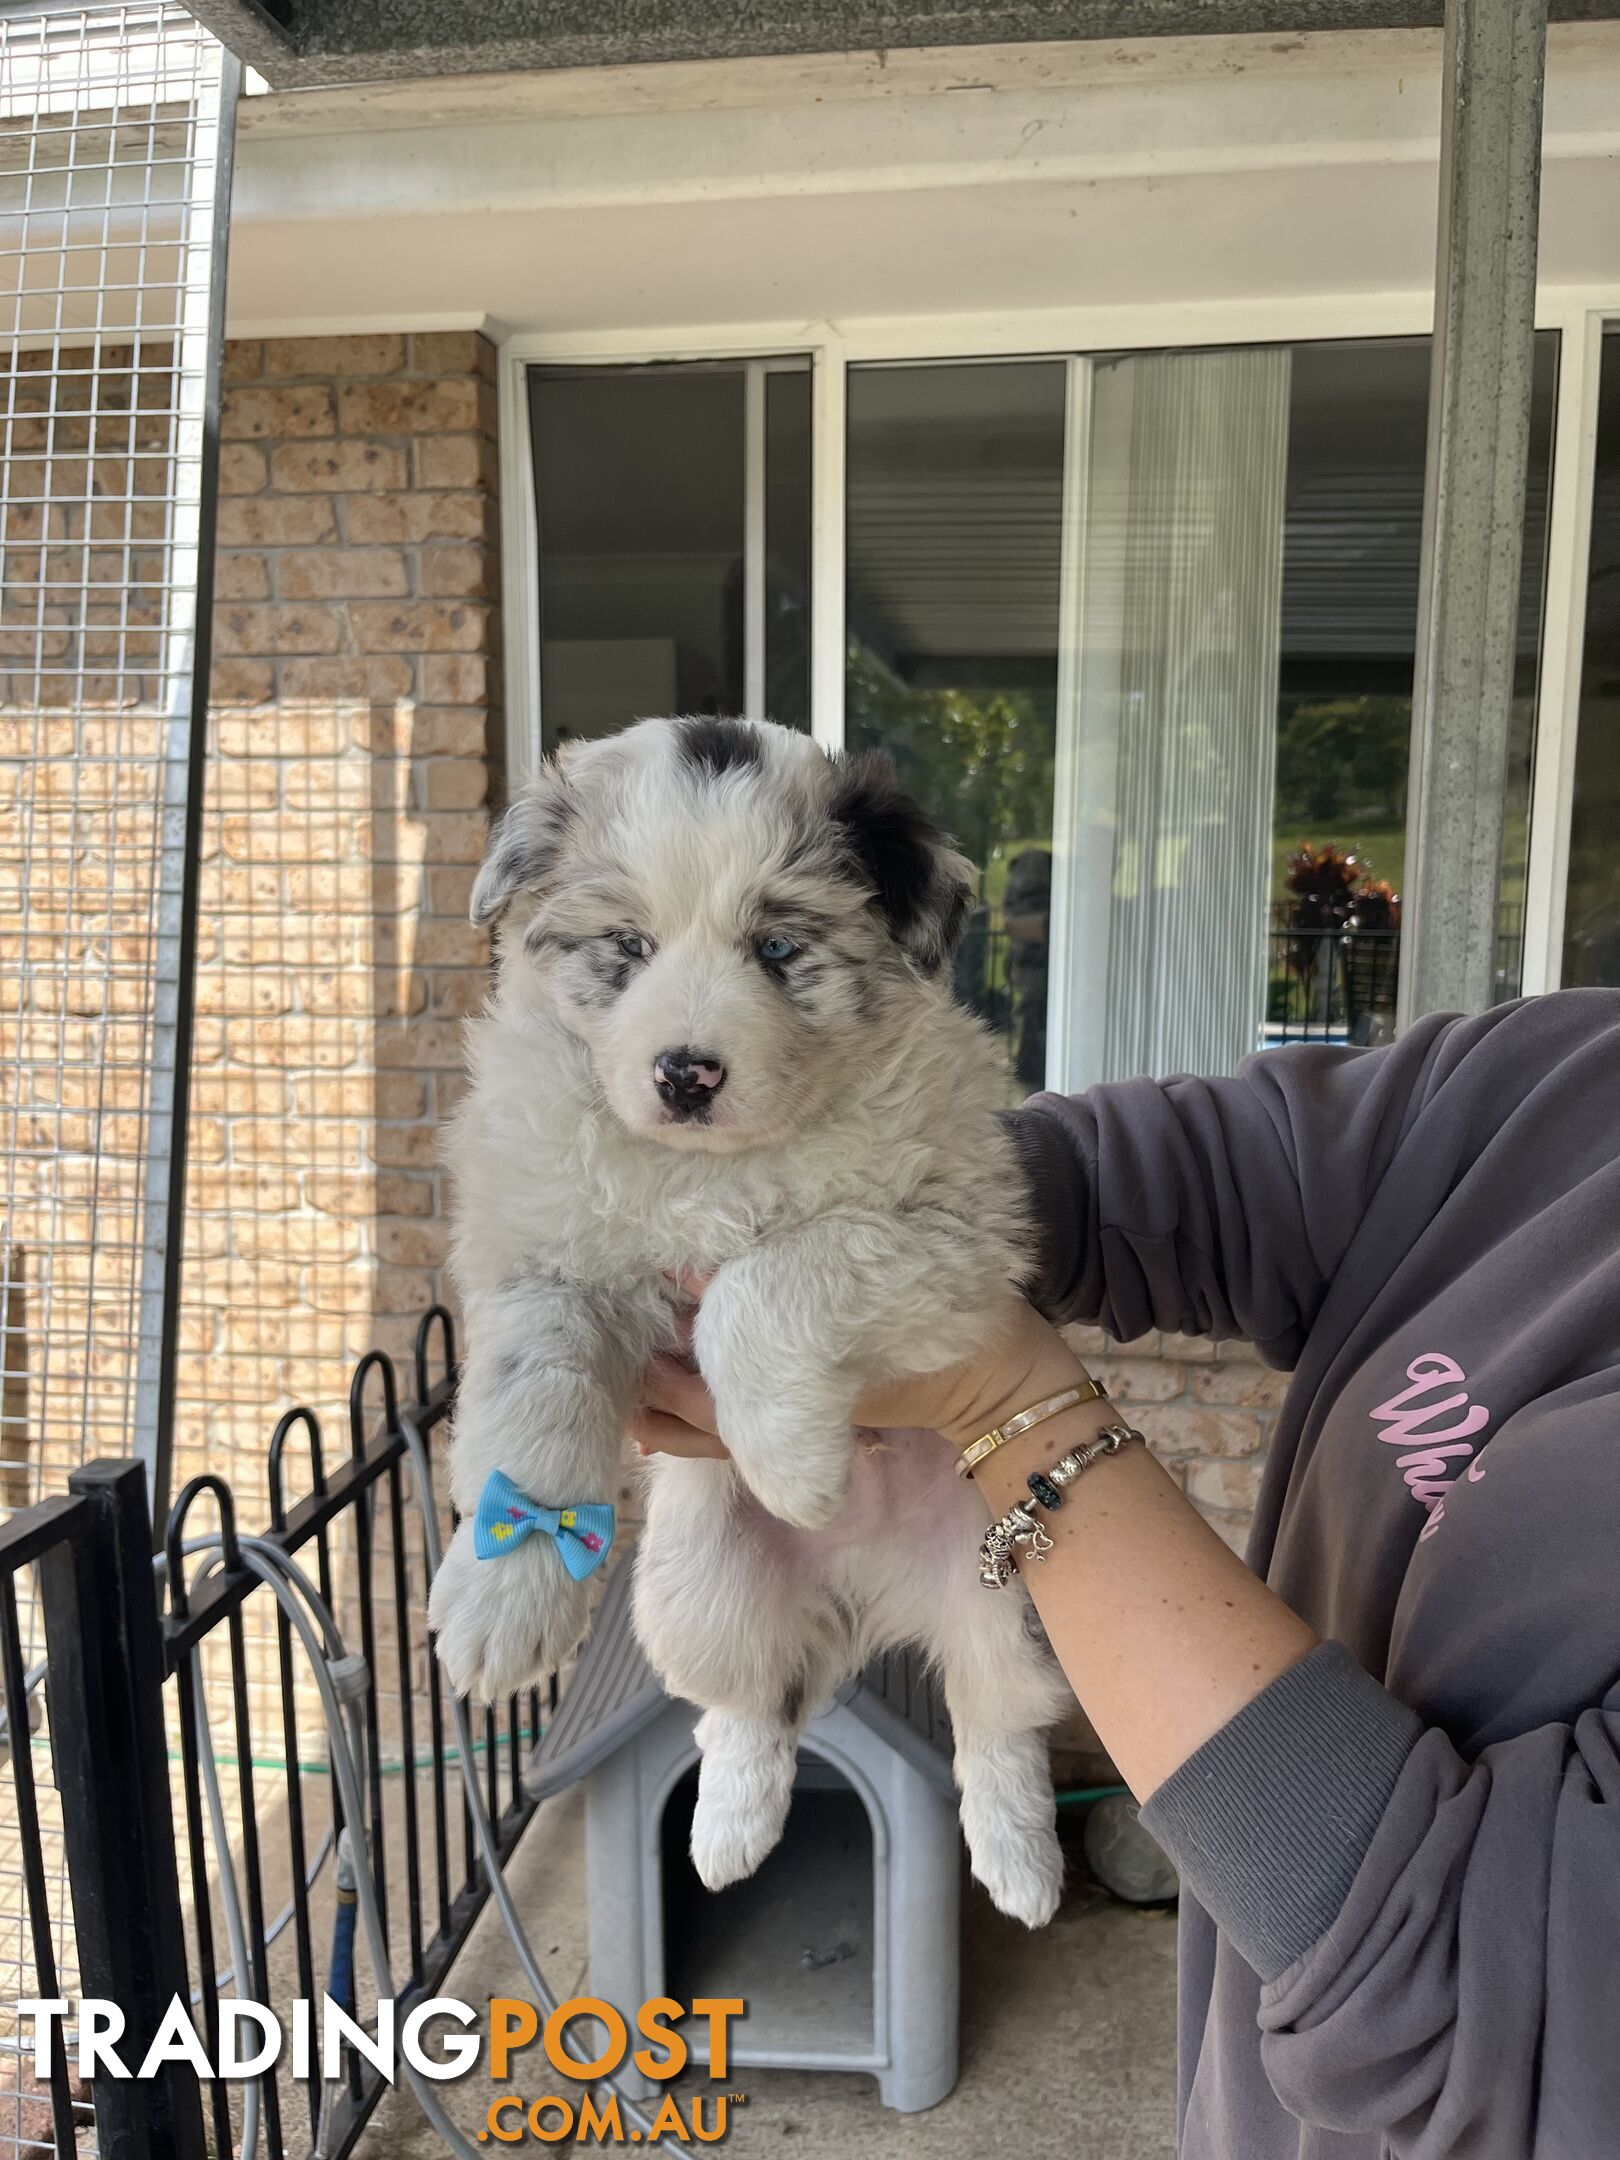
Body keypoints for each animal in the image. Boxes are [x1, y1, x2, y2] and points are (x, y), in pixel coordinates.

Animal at [427, 721, 1080, 1926]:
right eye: (626, 946)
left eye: (777, 948)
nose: (686, 1073)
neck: (713, 1167)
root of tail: (861, 1593)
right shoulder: (544, 1254)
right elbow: (532, 1396)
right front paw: (504, 1597)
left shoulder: (960, 1243)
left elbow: (766, 1279)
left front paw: (795, 1469)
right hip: (692, 1591)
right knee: (748, 1703)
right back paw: (726, 1833)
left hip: (1016, 1588)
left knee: (996, 1715)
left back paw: (1021, 1864)